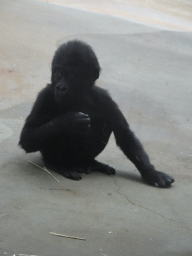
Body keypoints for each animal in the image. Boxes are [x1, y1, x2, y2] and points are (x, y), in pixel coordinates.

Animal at [19, 40, 174, 188]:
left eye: (71, 75)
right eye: (58, 73)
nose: (61, 87)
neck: (78, 97)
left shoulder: (105, 98)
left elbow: (124, 133)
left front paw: (151, 173)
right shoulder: (44, 96)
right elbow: (27, 137)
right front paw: (69, 121)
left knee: (105, 127)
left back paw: (92, 163)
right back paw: (58, 165)